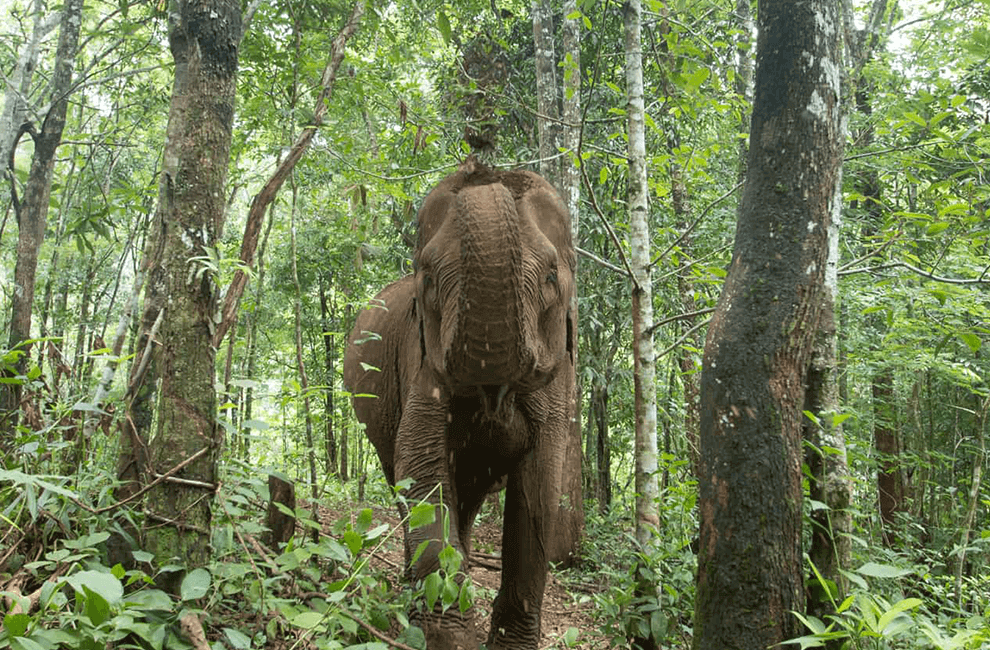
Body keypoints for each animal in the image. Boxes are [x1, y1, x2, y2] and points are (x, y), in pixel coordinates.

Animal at [344, 158, 576, 648]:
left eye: (550, 277)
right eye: (429, 279)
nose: (482, 166)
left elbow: (540, 484)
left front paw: (510, 643)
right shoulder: (420, 361)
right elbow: (419, 462)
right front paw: (445, 634)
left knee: (469, 497)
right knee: (401, 476)